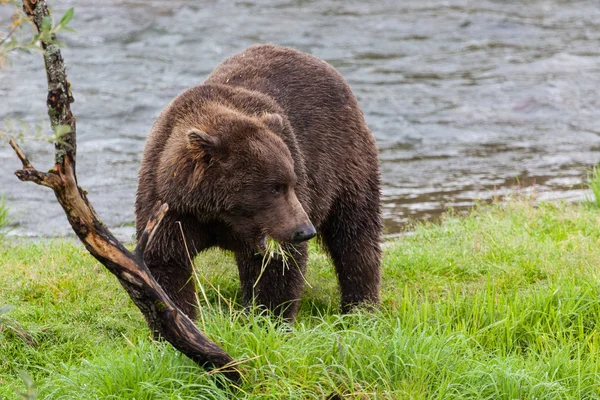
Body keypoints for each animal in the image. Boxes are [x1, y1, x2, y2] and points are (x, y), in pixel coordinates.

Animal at [135, 43, 380, 320]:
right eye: (274, 188)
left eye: (291, 183)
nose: (305, 230)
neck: (215, 213)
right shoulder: (170, 206)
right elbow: (166, 262)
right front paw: (177, 316)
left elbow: (277, 267)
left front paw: (270, 318)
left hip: (346, 162)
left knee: (355, 235)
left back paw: (361, 308)